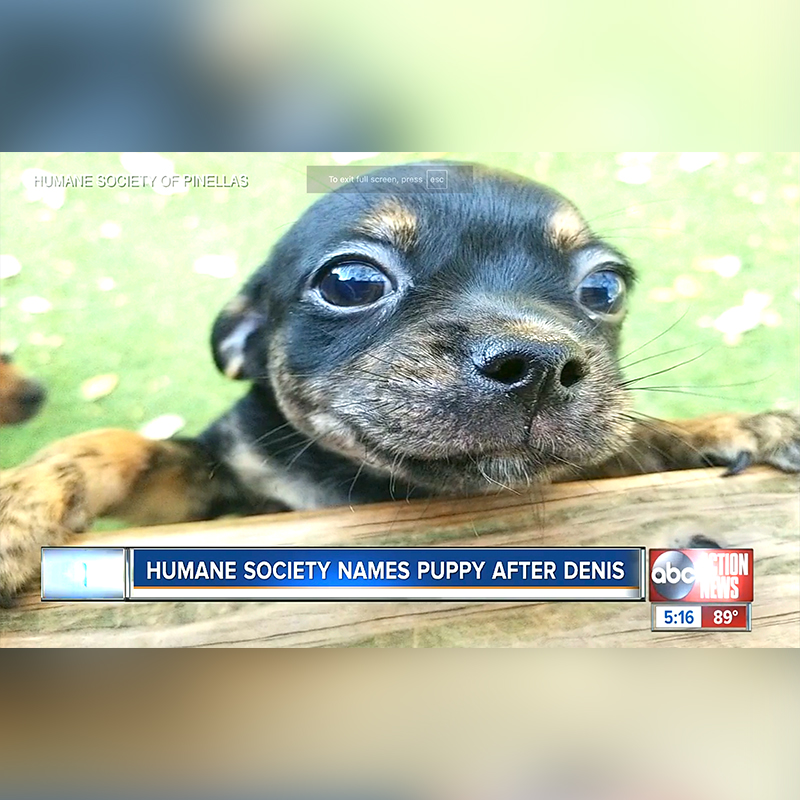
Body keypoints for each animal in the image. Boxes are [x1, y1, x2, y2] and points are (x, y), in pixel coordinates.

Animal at [1, 162, 800, 596]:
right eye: (350, 282)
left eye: (604, 289)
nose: (539, 365)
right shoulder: (218, 486)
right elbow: (114, 445)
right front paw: (18, 508)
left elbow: (623, 440)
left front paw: (732, 428)